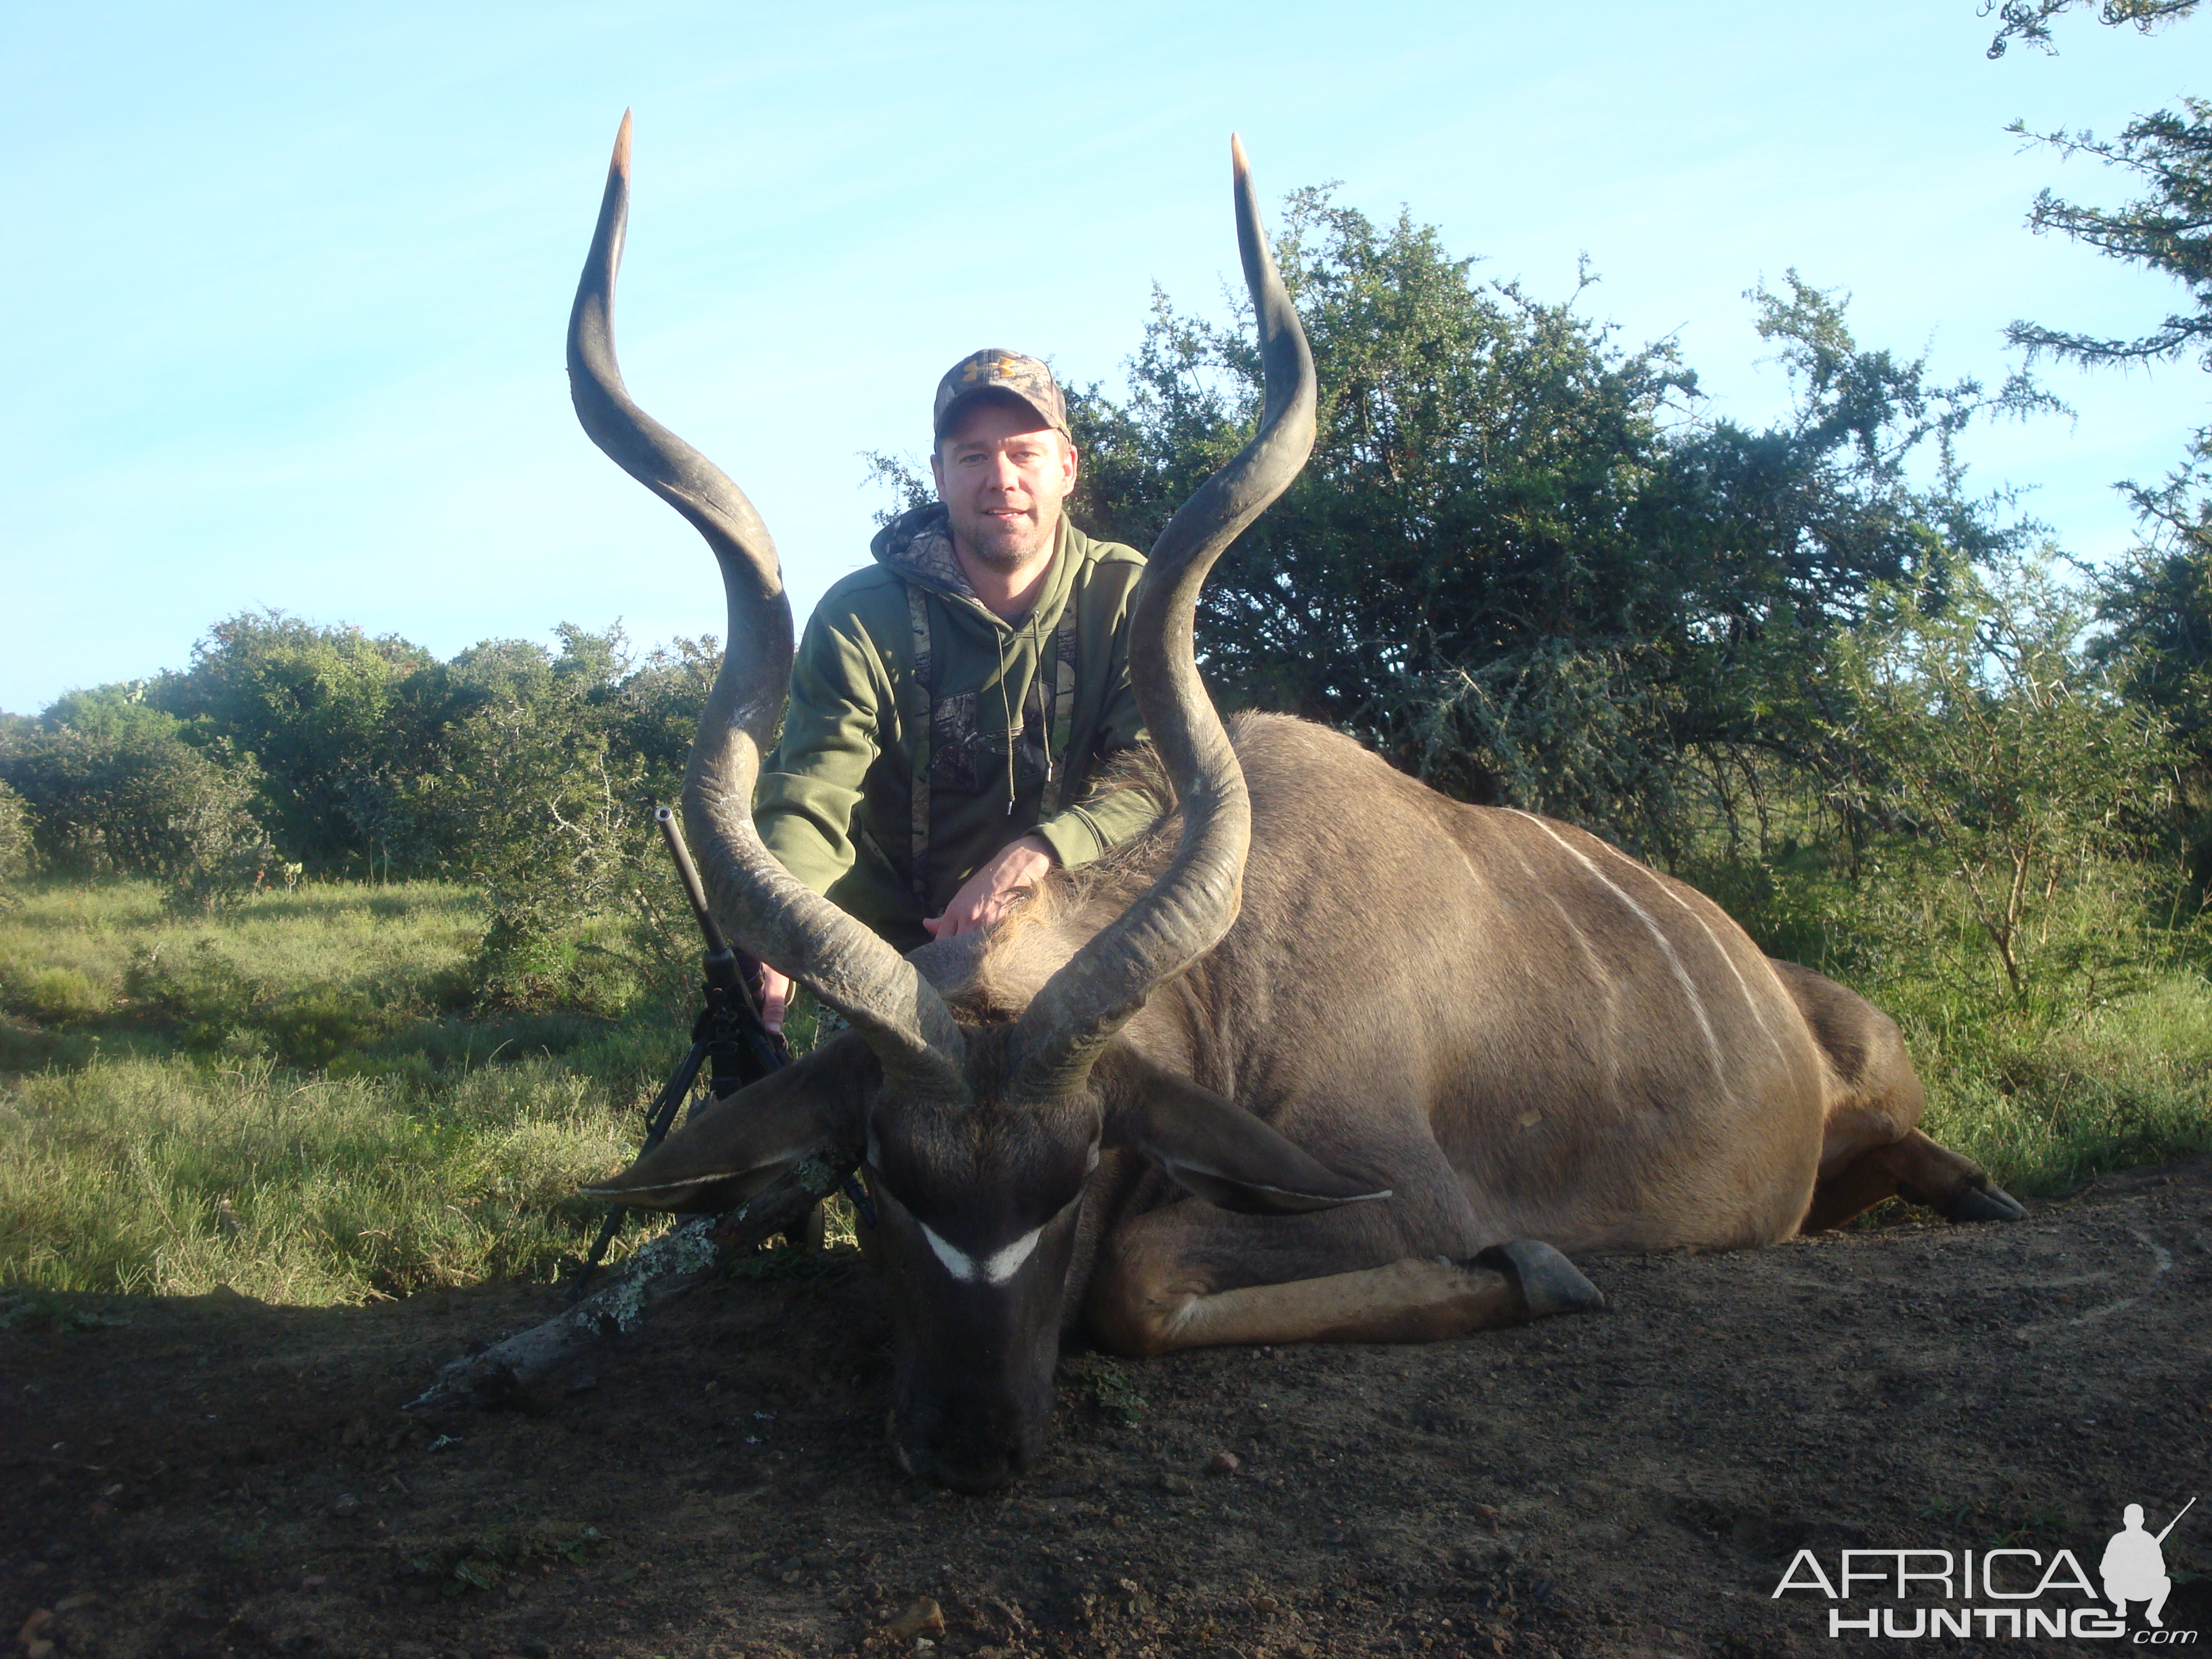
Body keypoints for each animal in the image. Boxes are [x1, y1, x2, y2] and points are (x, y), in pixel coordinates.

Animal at [571, 114, 2026, 1495]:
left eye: (1079, 1172)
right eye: (876, 1178)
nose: (968, 1446)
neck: (1229, 983)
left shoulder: (1401, 1192)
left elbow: (1139, 1286)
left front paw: (1539, 1270)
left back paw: (1978, 1191)